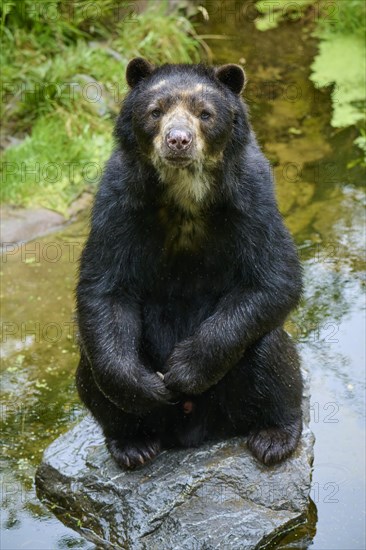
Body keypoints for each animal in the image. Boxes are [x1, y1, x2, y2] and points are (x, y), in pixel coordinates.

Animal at [75, 59, 304, 470]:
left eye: (205, 113)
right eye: (155, 111)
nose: (178, 140)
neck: (185, 194)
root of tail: (193, 433)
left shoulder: (252, 196)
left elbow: (274, 276)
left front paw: (183, 371)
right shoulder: (118, 199)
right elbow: (105, 287)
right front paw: (147, 387)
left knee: (270, 350)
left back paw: (274, 436)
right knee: (90, 364)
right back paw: (133, 443)